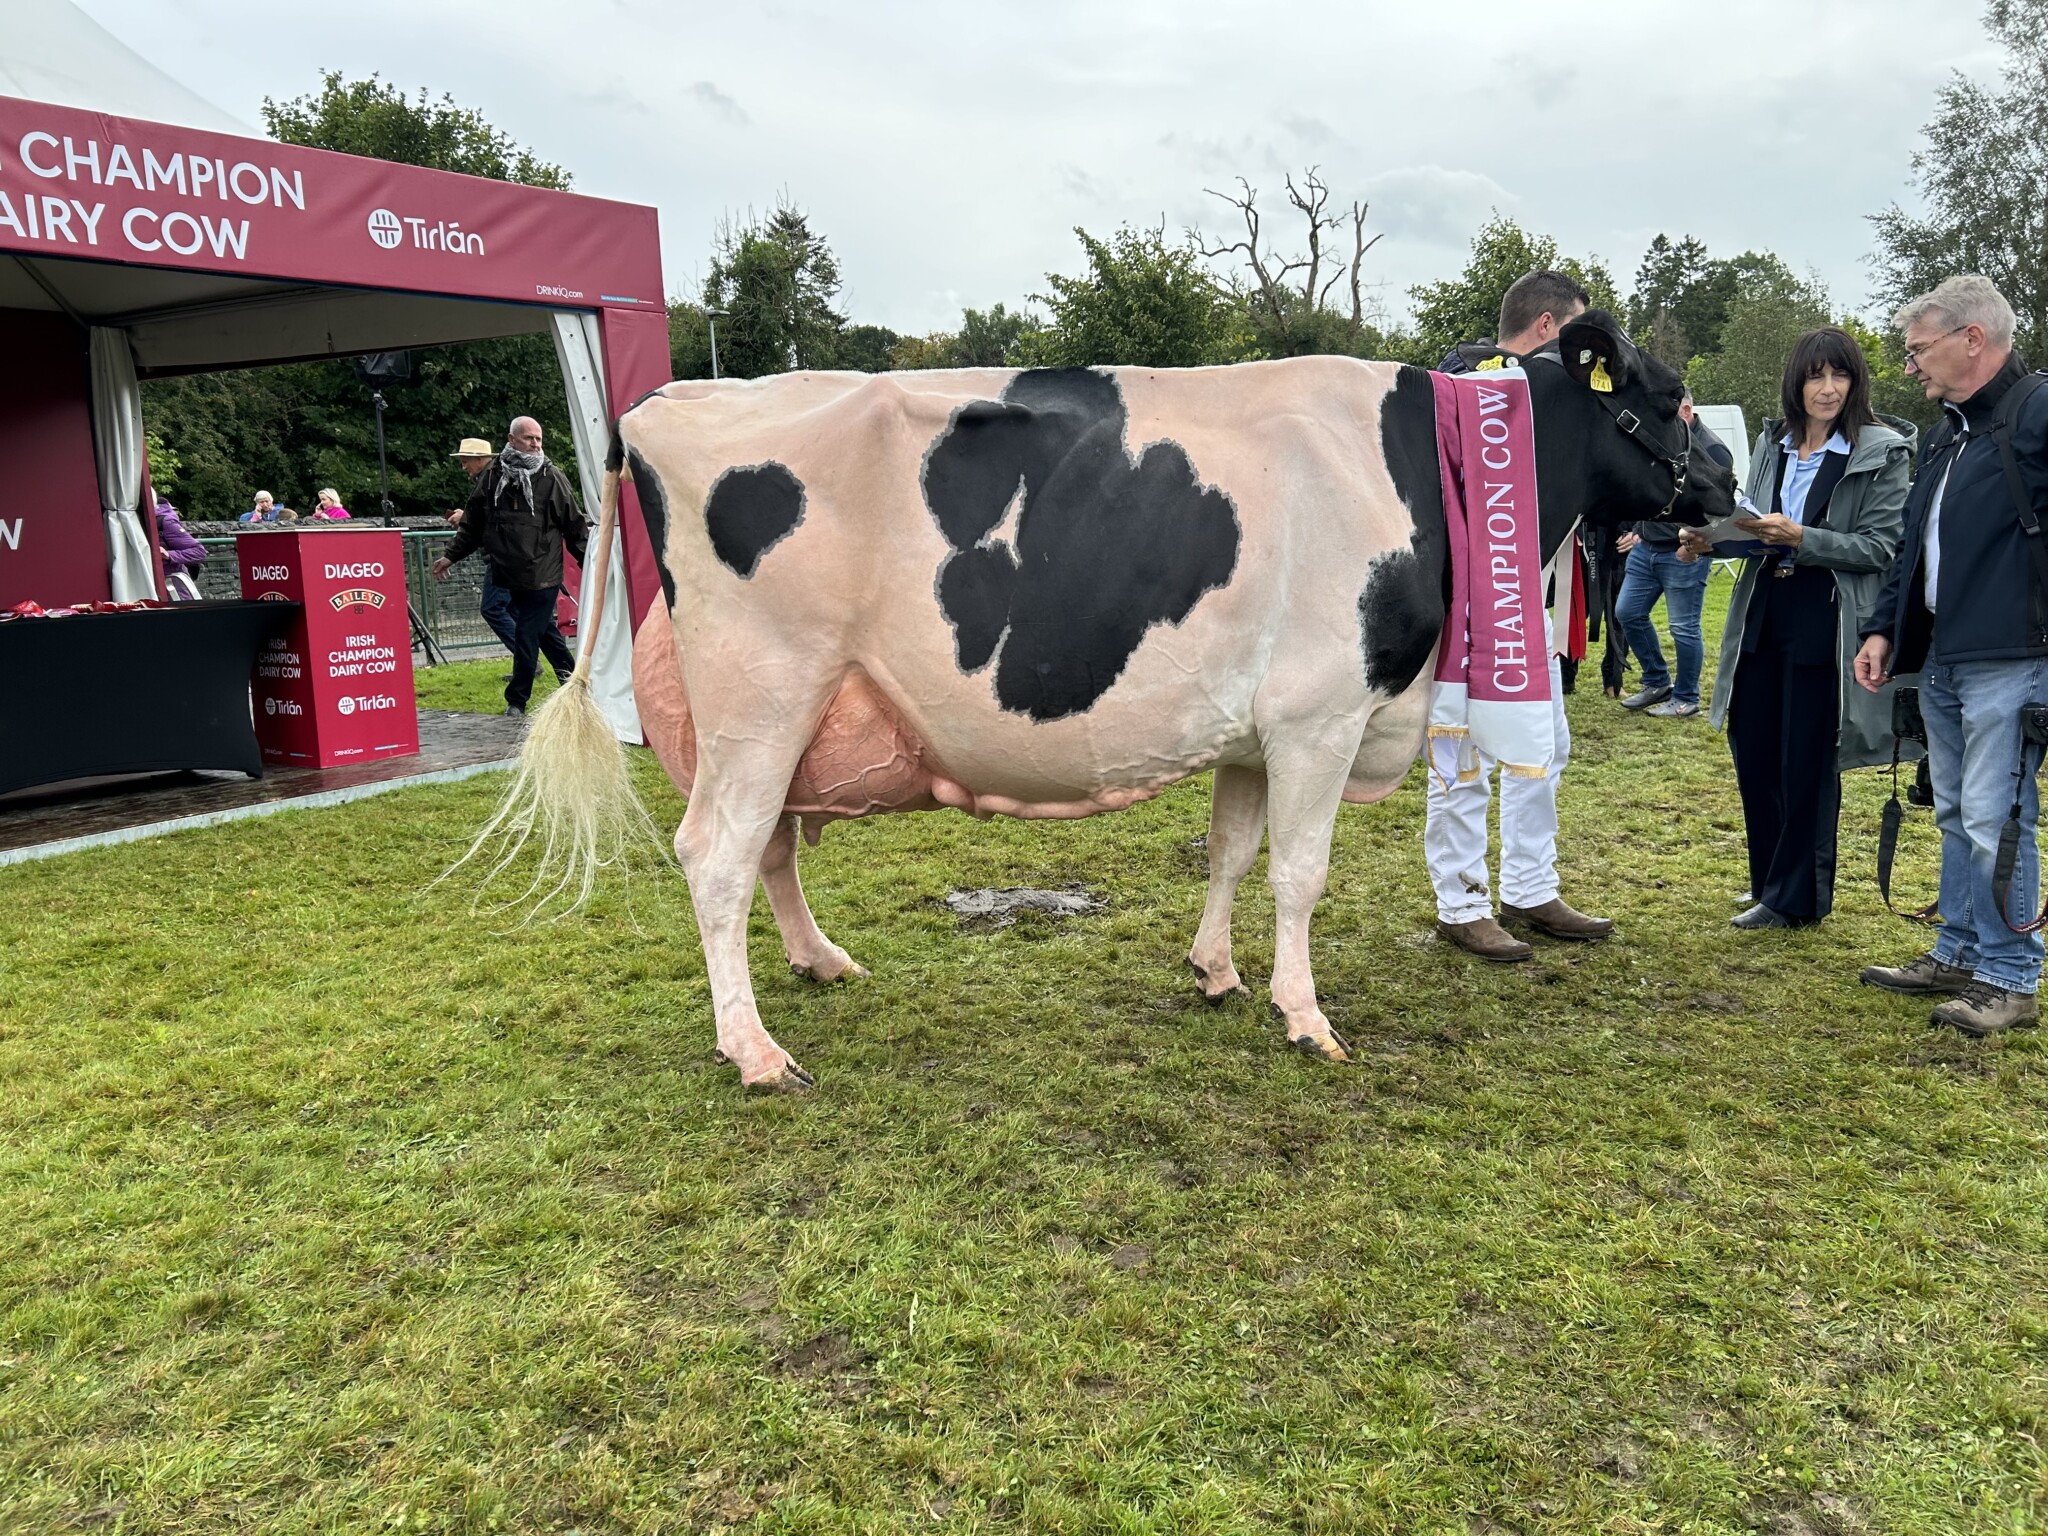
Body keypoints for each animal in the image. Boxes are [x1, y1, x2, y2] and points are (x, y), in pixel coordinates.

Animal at [487, 307, 1736, 1089]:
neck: (1432, 468)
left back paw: (818, 965)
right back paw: (752, 1053)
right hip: (763, 692)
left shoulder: (1250, 730)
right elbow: (1299, 873)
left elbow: (1231, 852)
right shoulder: (1319, 713)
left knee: (771, 849)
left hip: (797, 715)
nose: (1727, 484)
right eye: (1671, 398)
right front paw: (1304, 1015)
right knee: (716, 853)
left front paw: (1216, 973)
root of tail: (660, 402)